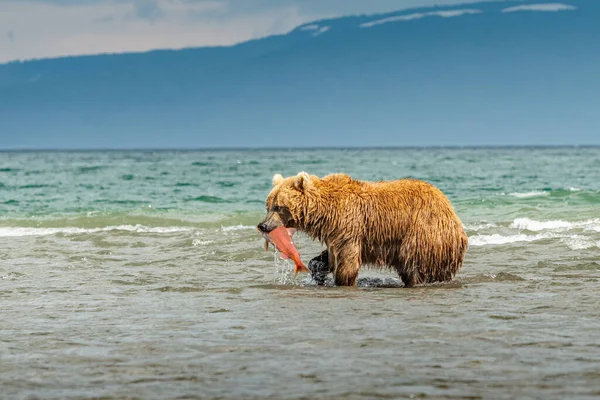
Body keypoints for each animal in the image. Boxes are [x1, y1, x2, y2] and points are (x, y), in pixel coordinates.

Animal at [258, 170, 468, 286]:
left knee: (413, 265)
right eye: (268, 206)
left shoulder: (349, 226)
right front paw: (318, 271)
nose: (263, 225)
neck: (325, 212)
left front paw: (342, 281)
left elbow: (347, 263)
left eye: (278, 206)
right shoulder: (335, 233)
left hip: (422, 232)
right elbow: (328, 257)